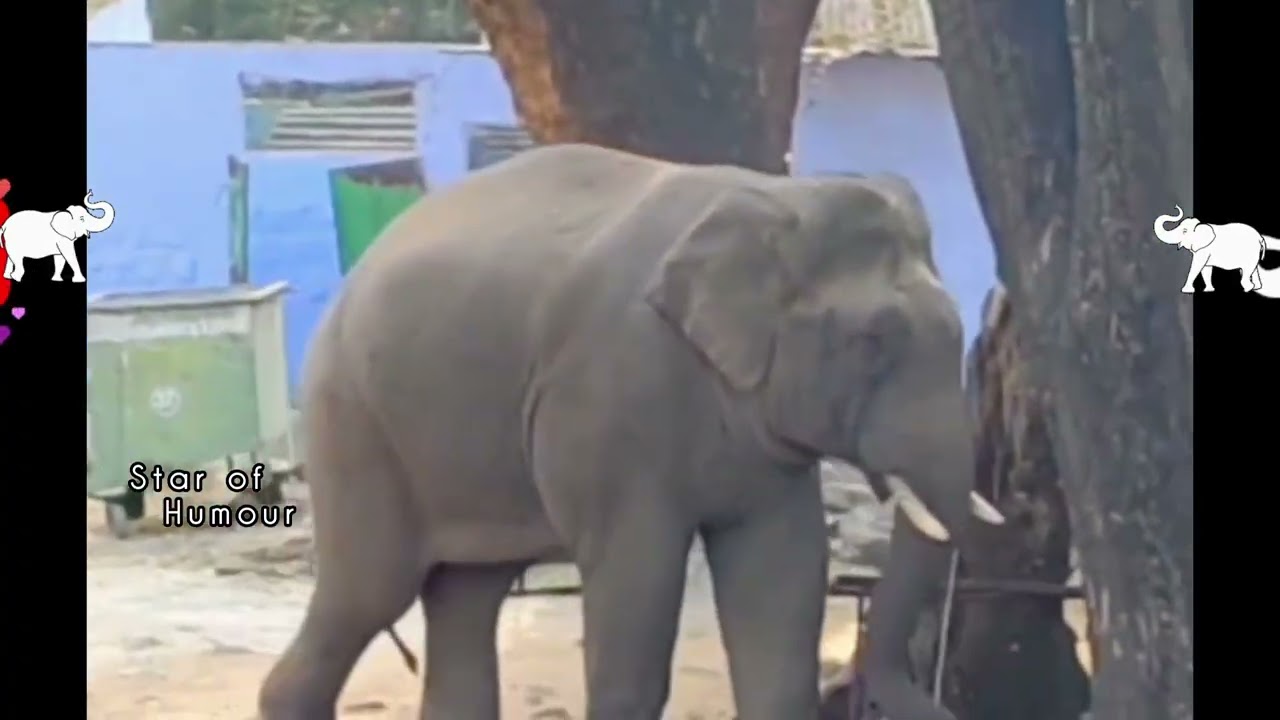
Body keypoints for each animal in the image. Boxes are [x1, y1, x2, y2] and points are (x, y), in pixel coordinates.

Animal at [258, 143, 1005, 720]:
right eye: (871, 341)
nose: (874, 692)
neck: (778, 196)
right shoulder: (614, 397)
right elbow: (635, 575)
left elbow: (782, 576)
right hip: (355, 424)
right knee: (367, 591)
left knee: (466, 595)